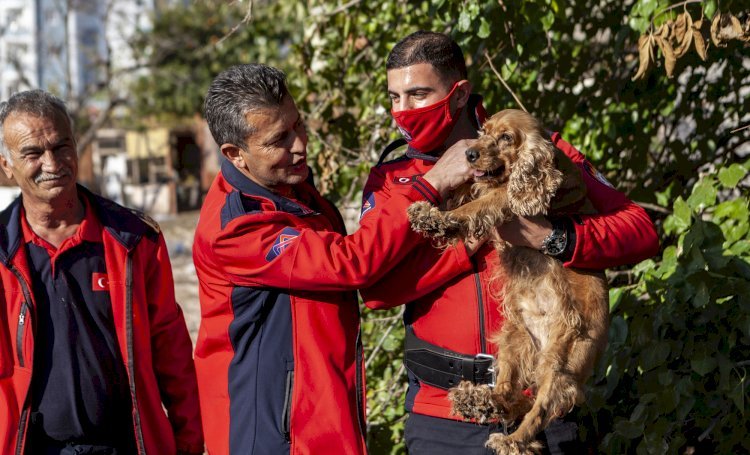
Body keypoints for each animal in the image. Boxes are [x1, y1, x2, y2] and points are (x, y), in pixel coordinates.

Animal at [406, 110, 612, 455]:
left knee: (540, 409)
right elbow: (469, 194)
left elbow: (475, 207)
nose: (469, 153)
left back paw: (511, 440)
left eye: (505, 138)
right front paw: (431, 211)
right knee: (508, 394)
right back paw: (478, 400)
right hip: (513, 338)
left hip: (560, 360)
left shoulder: (506, 199)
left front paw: (440, 219)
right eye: (483, 132)